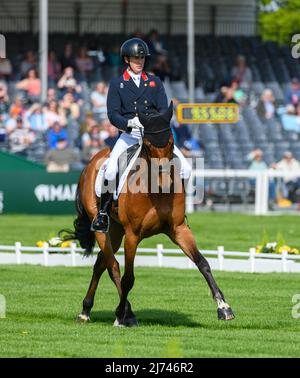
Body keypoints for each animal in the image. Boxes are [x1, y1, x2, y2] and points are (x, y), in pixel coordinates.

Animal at [62, 104, 234, 328]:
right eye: (149, 145)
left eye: (171, 143)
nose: (166, 182)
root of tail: (92, 161)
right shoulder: (132, 235)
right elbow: (128, 278)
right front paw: (121, 316)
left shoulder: (179, 229)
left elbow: (202, 263)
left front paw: (224, 308)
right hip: (101, 226)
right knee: (112, 265)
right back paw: (125, 313)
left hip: (115, 230)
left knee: (101, 263)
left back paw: (86, 310)